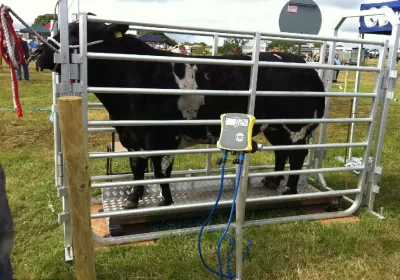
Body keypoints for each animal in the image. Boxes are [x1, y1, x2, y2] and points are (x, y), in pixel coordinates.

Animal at [32, 19, 326, 208]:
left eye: (75, 33)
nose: (38, 52)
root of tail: (304, 64)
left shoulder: (163, 136)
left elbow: (161, 171)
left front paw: (166, 201)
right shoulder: (130, 134)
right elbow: (137, 167)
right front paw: (132, 199)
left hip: (296, 125)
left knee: (297, 156)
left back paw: (288, 190)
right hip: (275, 126)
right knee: (281, 152)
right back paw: (273, 182)